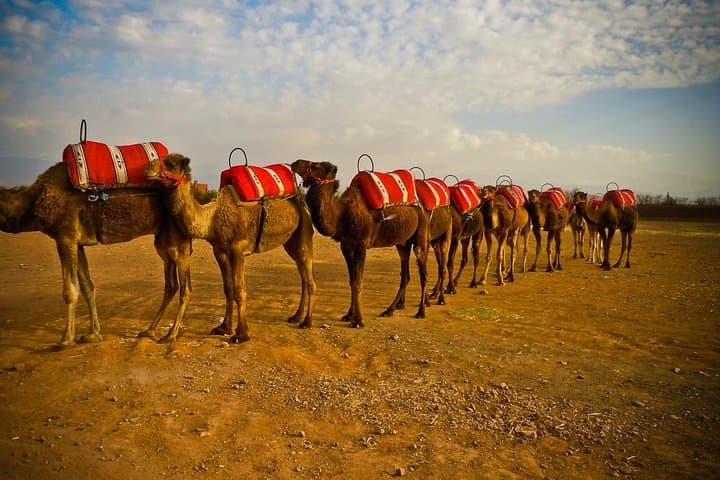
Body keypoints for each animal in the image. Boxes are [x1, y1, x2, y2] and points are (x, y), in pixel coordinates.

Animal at [0, 163, 192, 347]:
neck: (35, 201)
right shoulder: (77, 243)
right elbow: (87, 286)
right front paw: (93, 334)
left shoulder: (65, 237)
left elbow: (70, 291)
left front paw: (66, 339)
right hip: (163, 242)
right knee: (171, 284)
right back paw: (149, 331)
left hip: (177, 239)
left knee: (185, 288)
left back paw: (171, 335)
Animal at [145, 153, 317, 343]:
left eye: (171, 163)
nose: (148, 168)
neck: (212, 218)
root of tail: (301, 202)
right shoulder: (219, 250)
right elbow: (228, 289)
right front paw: (224, 328)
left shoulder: (237, 249)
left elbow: (239, 291)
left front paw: (241, 334)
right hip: (291, 241)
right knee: (303, 277)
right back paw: (296, 316)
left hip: (304, 230)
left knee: (310, 279)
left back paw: (307, 322)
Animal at [290, 159, 429, 328]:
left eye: (316, 166)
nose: (295, 163)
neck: (342, 215)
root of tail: (421, 206)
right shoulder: (346, 245)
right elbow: (352, 281)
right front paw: (349, 315)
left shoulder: (361, 245)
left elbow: (358, 282)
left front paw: (358, 320)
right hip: (402, 243)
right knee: (405, 274)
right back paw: (389, 310)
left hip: (421, 236)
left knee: (423, 273)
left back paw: (421, 312)